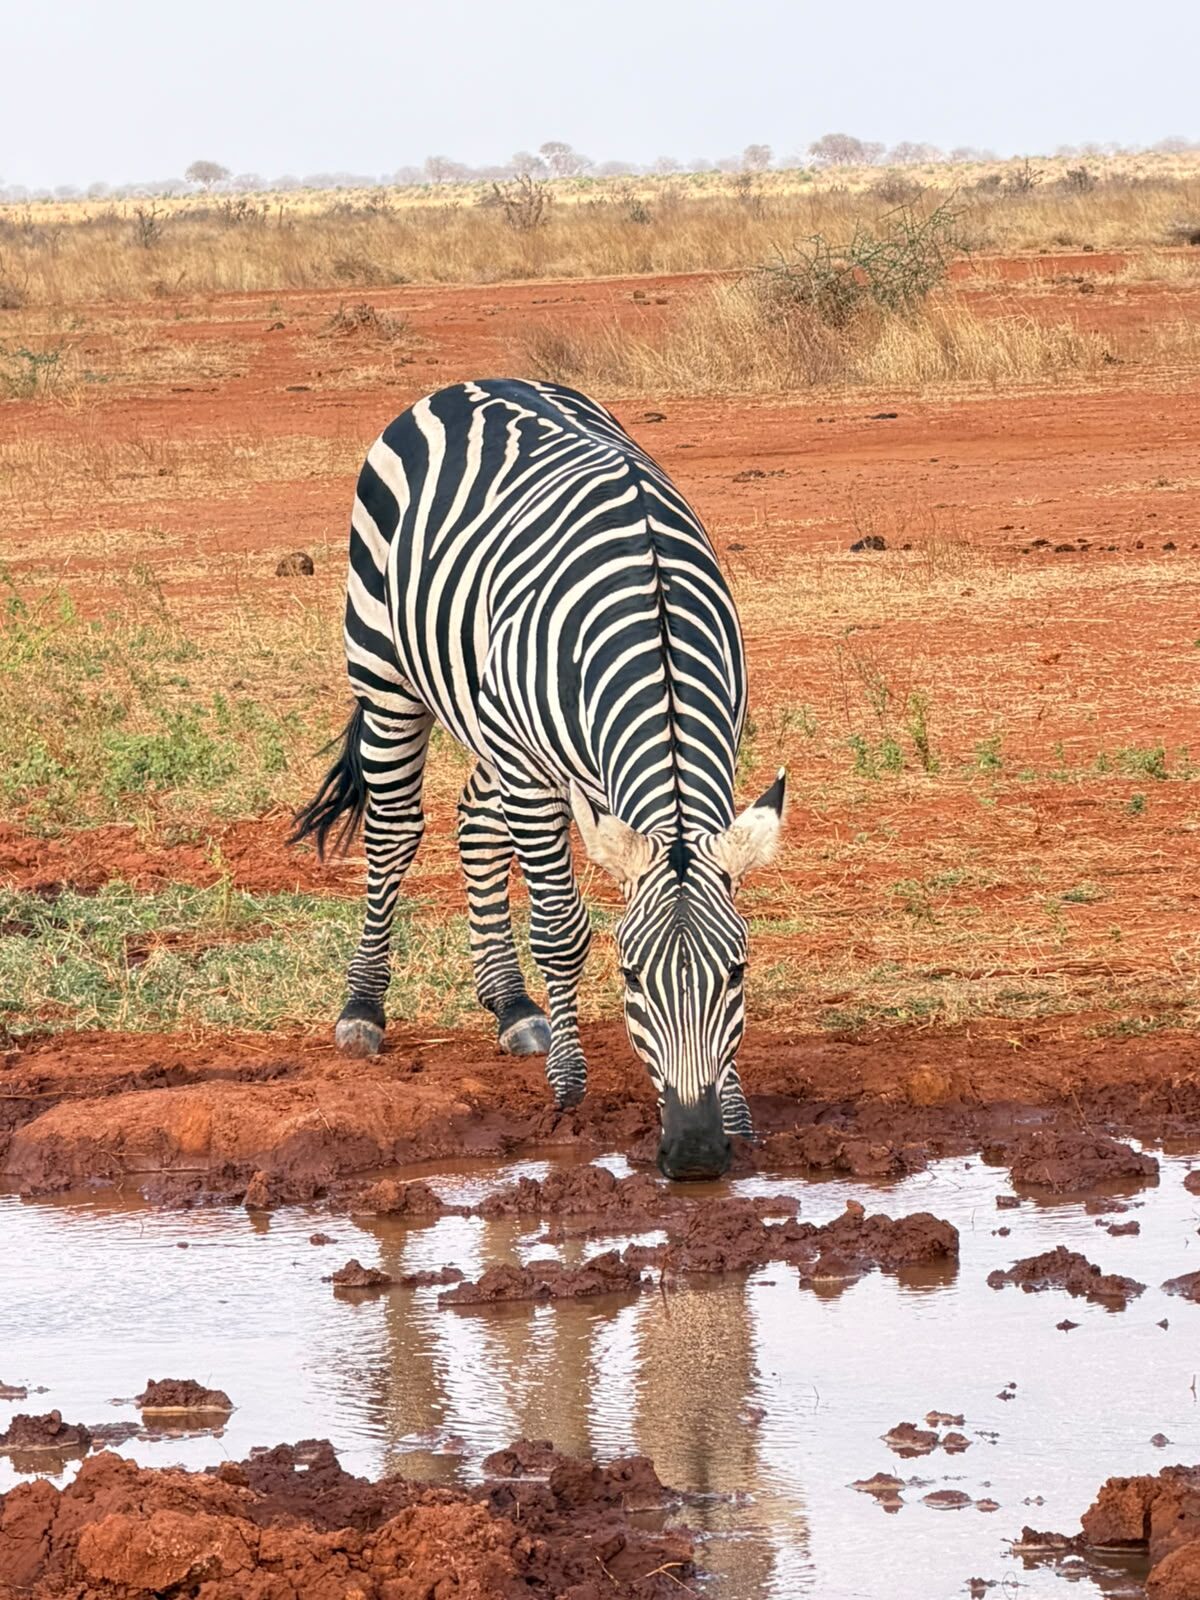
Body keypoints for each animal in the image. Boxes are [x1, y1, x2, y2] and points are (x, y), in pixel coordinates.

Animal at [291, 378, 784, 1180]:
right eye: (631, 977)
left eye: (736, 974)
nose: (695, 1153)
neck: (657, 633)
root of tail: (476, 383)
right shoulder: (530, 768)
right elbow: (560, 928)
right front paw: (569, 1087)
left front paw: (737, 1109)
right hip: (385, 672)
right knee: (395, 833)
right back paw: (363, 1010)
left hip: (487, 718)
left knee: (472, 823)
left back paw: (513, 1006)